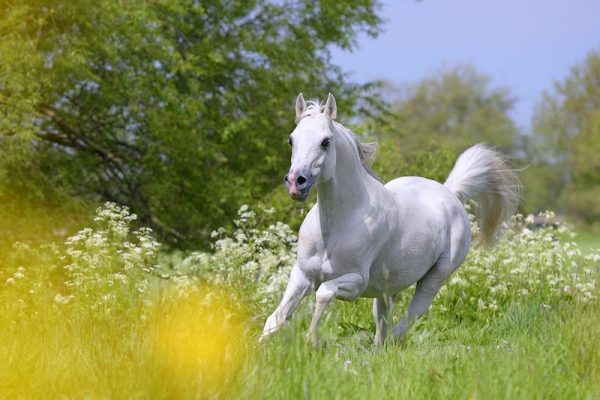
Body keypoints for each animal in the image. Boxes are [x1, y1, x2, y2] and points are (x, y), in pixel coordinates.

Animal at [260, 93, 516, 344]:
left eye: (325, 141)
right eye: (291, 140)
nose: (296, 183)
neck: (335, 226)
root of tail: (450, 192)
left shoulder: (356, 281)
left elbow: (323, 293)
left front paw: (311, 339)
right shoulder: (302, 275)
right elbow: (275, 320)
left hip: (434, 279)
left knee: (407, 320)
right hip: (388, 288)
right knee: (383, 326)